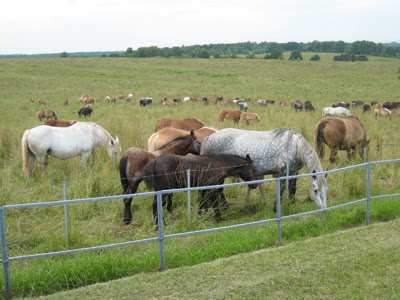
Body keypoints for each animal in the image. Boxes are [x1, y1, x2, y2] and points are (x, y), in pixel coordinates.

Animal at [200, 127, 328, 211]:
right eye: (315, 190)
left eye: (326, 190)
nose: (323, 209)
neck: (293, 145)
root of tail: (208, 138)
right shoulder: (282, 172)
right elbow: (281, 190)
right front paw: (276, 208)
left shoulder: (294, 172)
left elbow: (292, 189)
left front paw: (292, 204)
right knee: (219, 189)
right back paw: (225, 206)